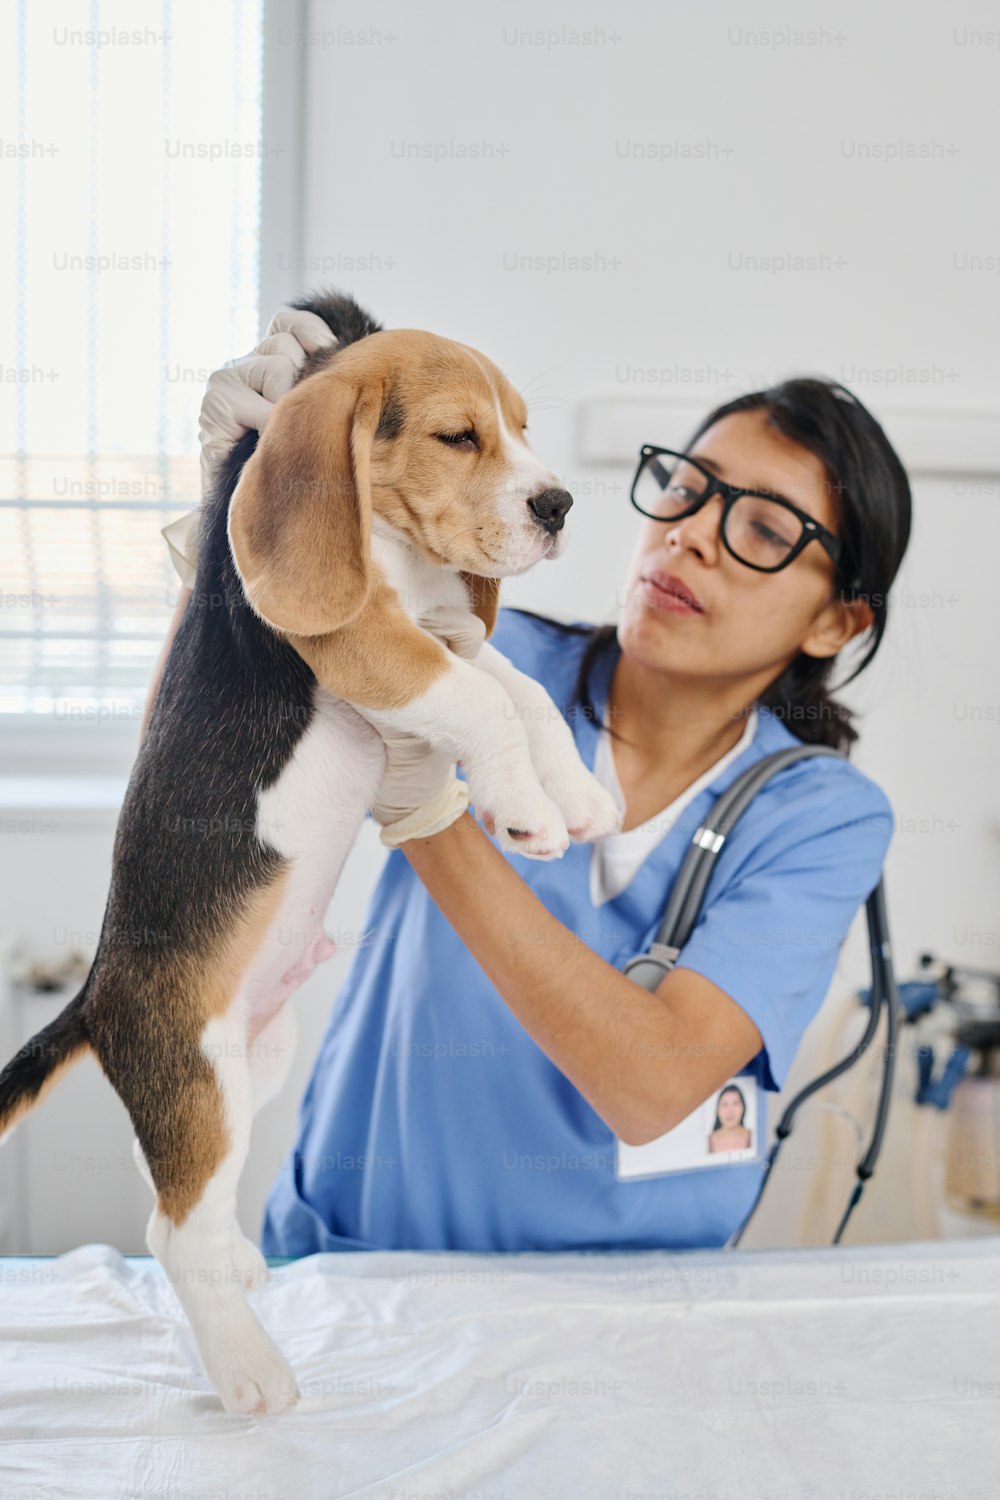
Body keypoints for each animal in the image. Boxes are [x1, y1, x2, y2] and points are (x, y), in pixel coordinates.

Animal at [0, 292, 617, 1416]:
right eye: (458, 437)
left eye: (521, 427)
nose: (556, 505)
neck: (399, 561)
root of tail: (96, 997)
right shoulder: (368, 640)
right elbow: (480, 702)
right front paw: (523, 807)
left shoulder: (445, 631)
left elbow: (520, 689)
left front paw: (579, 790)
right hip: (200, 1076)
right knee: (169, 1231)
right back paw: (249, 1372)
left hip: (257, 1059)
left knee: (183, 1194)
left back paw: (244, 1266)